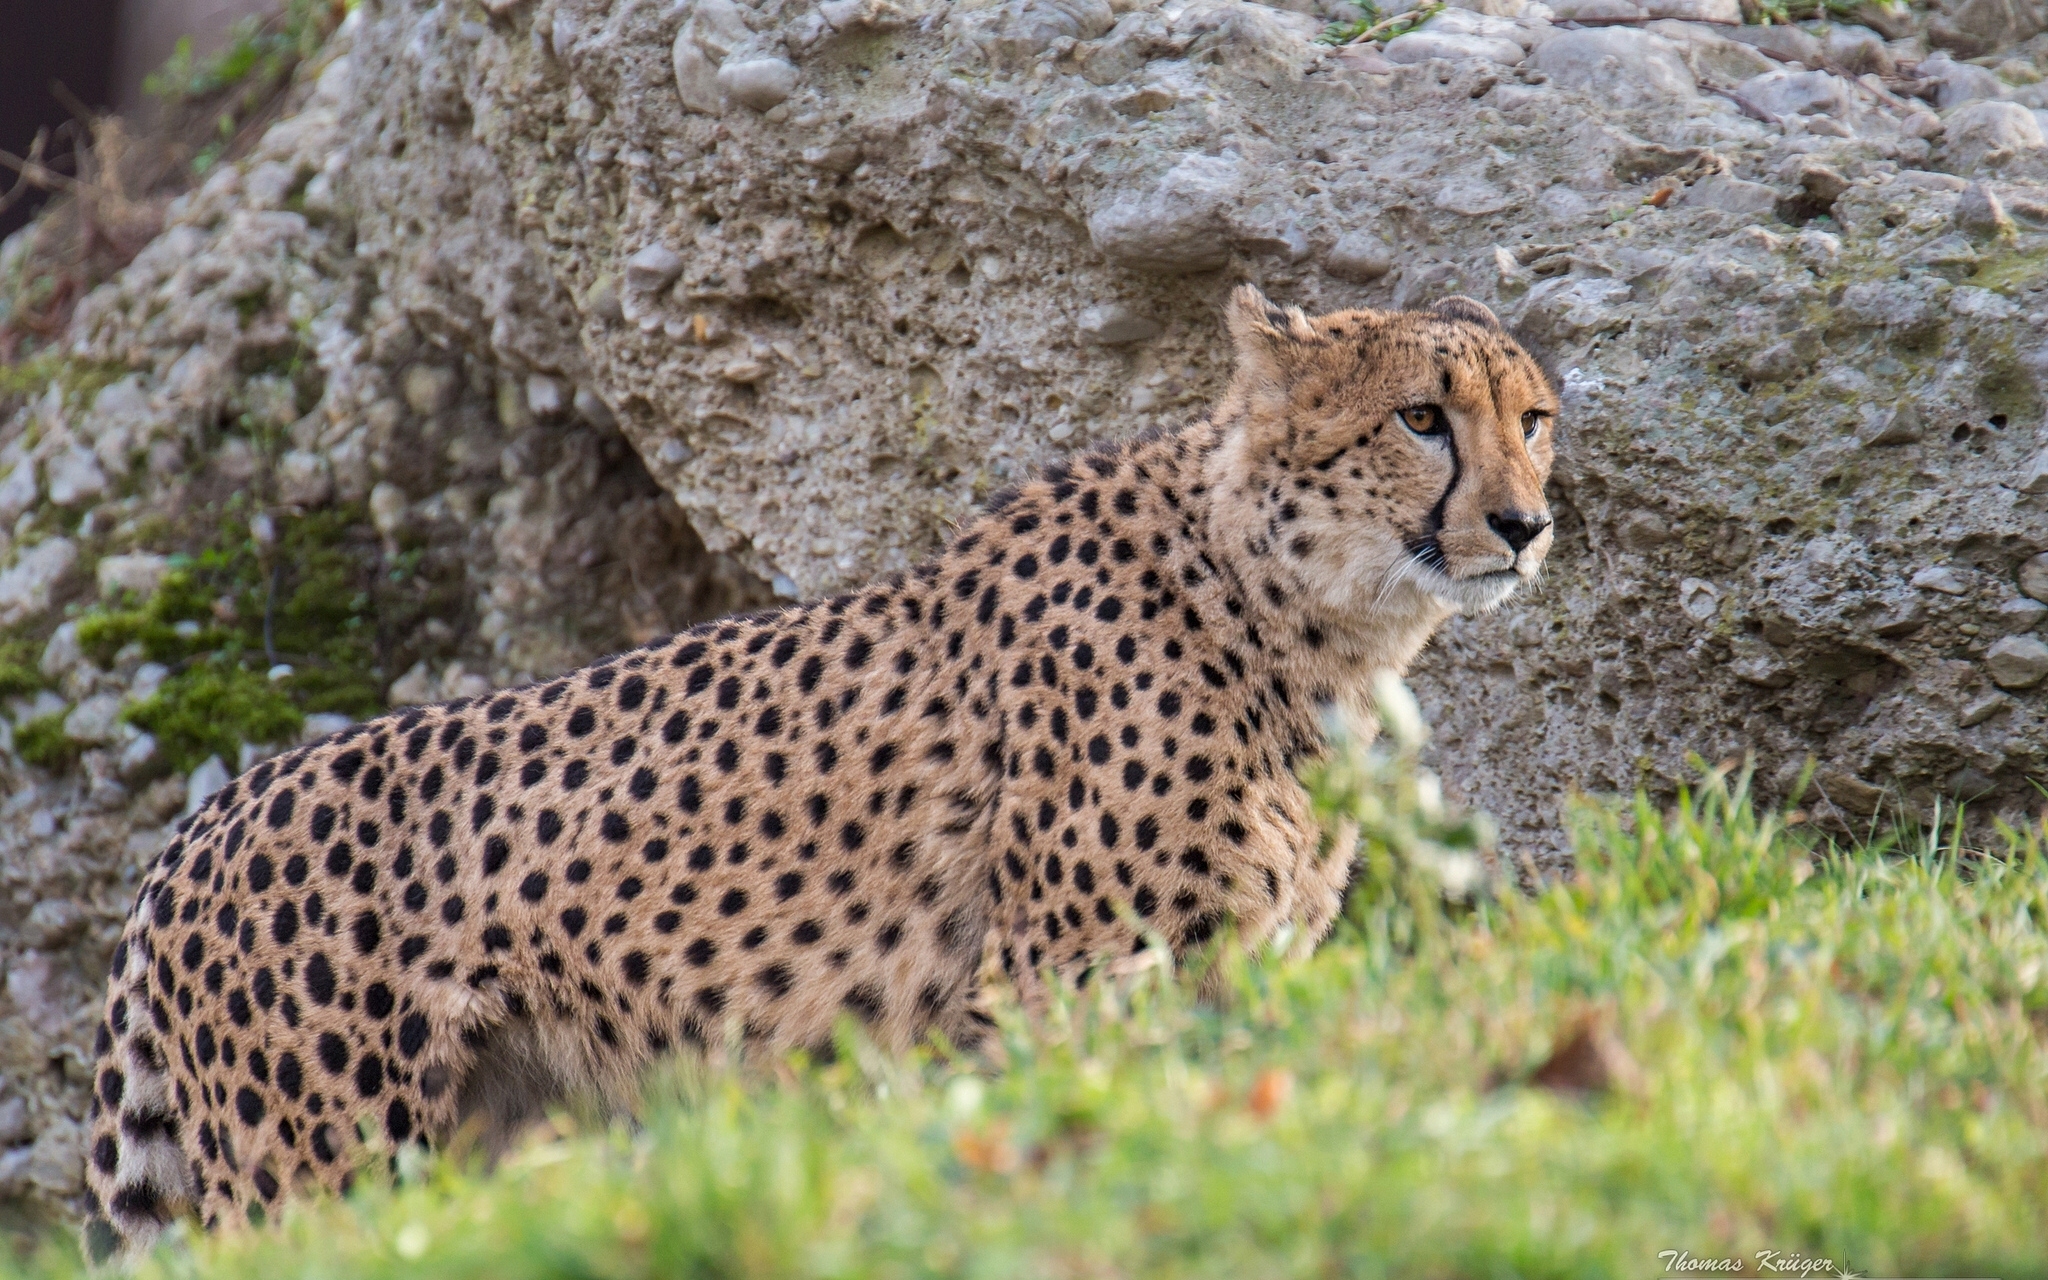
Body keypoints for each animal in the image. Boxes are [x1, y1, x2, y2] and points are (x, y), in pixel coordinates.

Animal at [75, 286, 1548, 1245]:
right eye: (1421, 418)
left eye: (1532, 419)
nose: (1527, 525)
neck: (1289, 606)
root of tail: (202, 824)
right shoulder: (1066, 988)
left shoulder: (1226, 984)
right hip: (329, 1171)